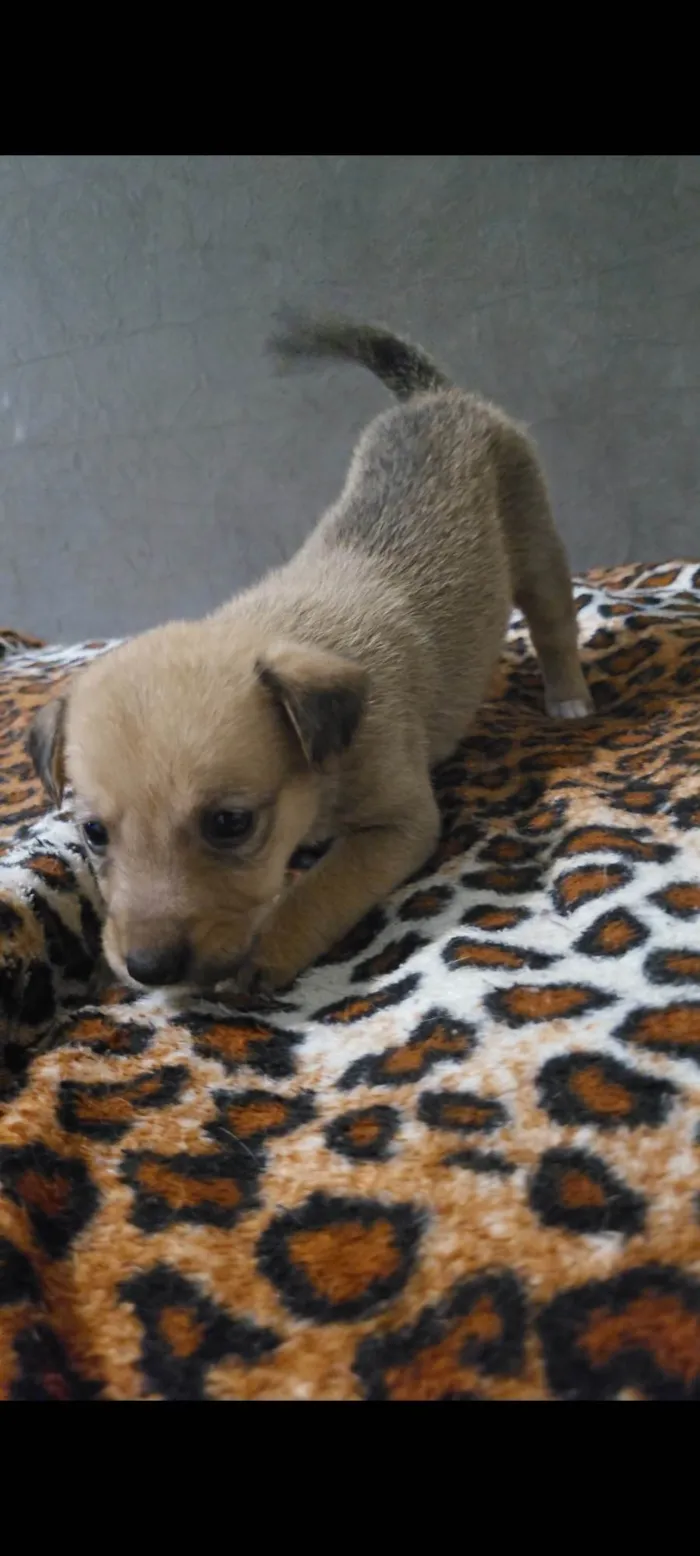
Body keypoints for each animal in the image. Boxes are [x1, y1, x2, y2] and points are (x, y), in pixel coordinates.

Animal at [30, 317, 594, 995]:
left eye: (230, 823)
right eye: (93, 833)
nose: (148, 969)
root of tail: (434, 397)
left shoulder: (398, 825)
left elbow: (322, 888)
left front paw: (267, 948)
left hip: (534, 534)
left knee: (555, 622)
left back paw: (569, 698)